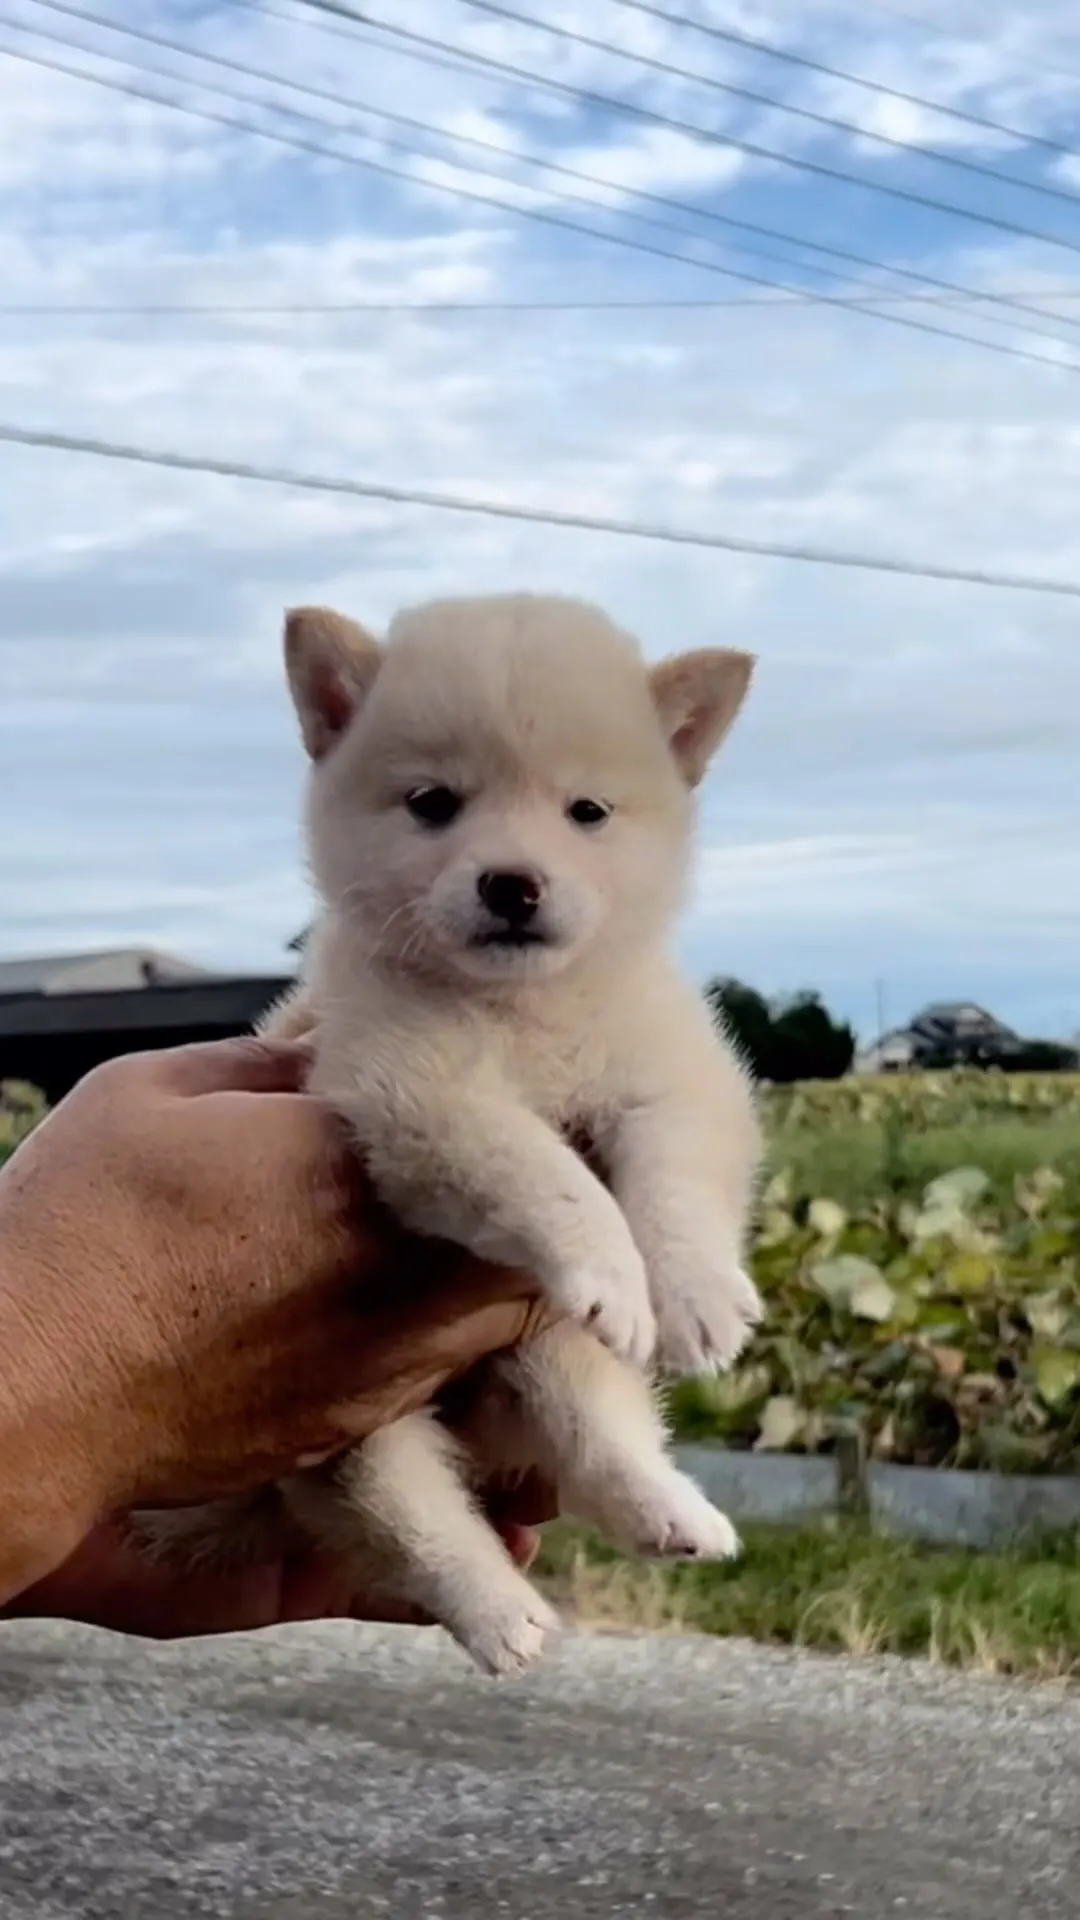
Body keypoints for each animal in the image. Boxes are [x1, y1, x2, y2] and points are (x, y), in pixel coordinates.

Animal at [143, 591, 760, 1674]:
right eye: (433, 803)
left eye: (587, 812)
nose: (513, 884)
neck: (520, 1013)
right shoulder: (415, 1092)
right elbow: (543, 1170)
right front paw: (608, 1263)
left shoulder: (674, 1078)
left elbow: (677, 1182)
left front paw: (695, 1297)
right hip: (348, 1422)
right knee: (398, 1506)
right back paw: (500, 1610)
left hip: (539, 1350)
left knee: (597, 1427)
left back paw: (667, 1511)